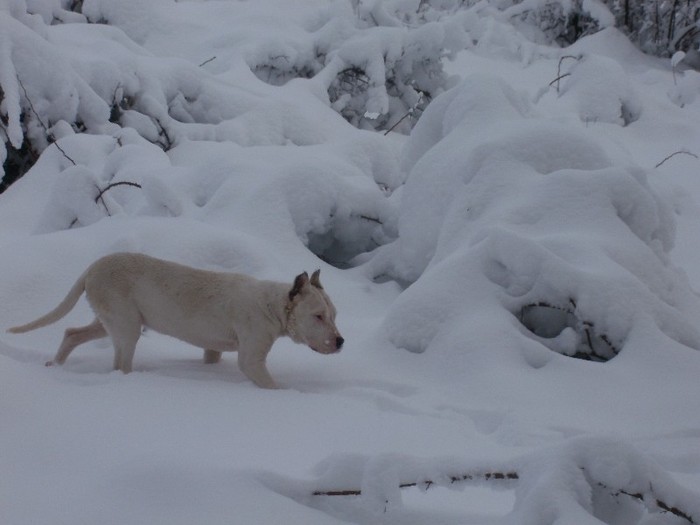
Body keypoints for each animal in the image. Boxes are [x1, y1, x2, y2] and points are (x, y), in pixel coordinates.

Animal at [5, 252, 344, 386]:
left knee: (72, 333)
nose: (340, 341)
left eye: (334, 315)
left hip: (108, 321)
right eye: (318, 316)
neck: (273, 305)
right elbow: (272, 386)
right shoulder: (252, 361)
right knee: (120, 362)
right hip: (127, 327)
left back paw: (55, 365)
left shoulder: (214, 348)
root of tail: (91, 268)